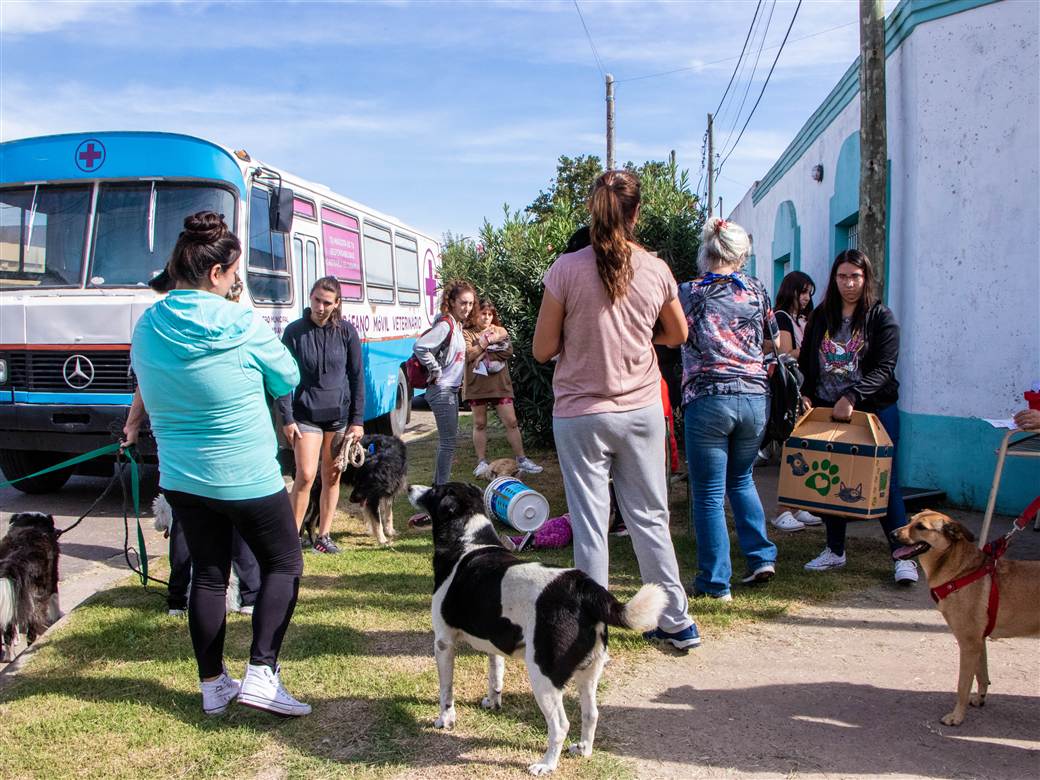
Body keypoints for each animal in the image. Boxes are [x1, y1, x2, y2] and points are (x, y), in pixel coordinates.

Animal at [0, 515, 62, 661]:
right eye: (52, 524)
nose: (58, 531)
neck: (30, 524)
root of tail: (14, 562)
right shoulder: (52, 577)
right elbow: (55, 598)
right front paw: (58, 617)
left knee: (8, 632)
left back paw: (10, 657)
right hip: (35, 596)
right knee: (31, 628)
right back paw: (29, 647)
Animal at [407, 482, 665, 777]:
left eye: (434, 490)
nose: (409, 487)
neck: (469, 542)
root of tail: (583, 586)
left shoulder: (443, 642)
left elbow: (446, 691)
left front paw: (445, 719)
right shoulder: (494, 641)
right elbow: (495, 676)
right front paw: (493, 702)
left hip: (543, 675)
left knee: (560, 725)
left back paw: (547, 764)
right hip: (589, 671)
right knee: (591, 714)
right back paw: (583, 750)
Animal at [894, 509, 1040, 732]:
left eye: (921, 527)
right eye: (910, 520)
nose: (892, 533)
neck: (960, 570)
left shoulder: (968, 644)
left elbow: (963, 685)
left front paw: (957, 717)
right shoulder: (979, 641)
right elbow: (982, 674)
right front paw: (980, 698)